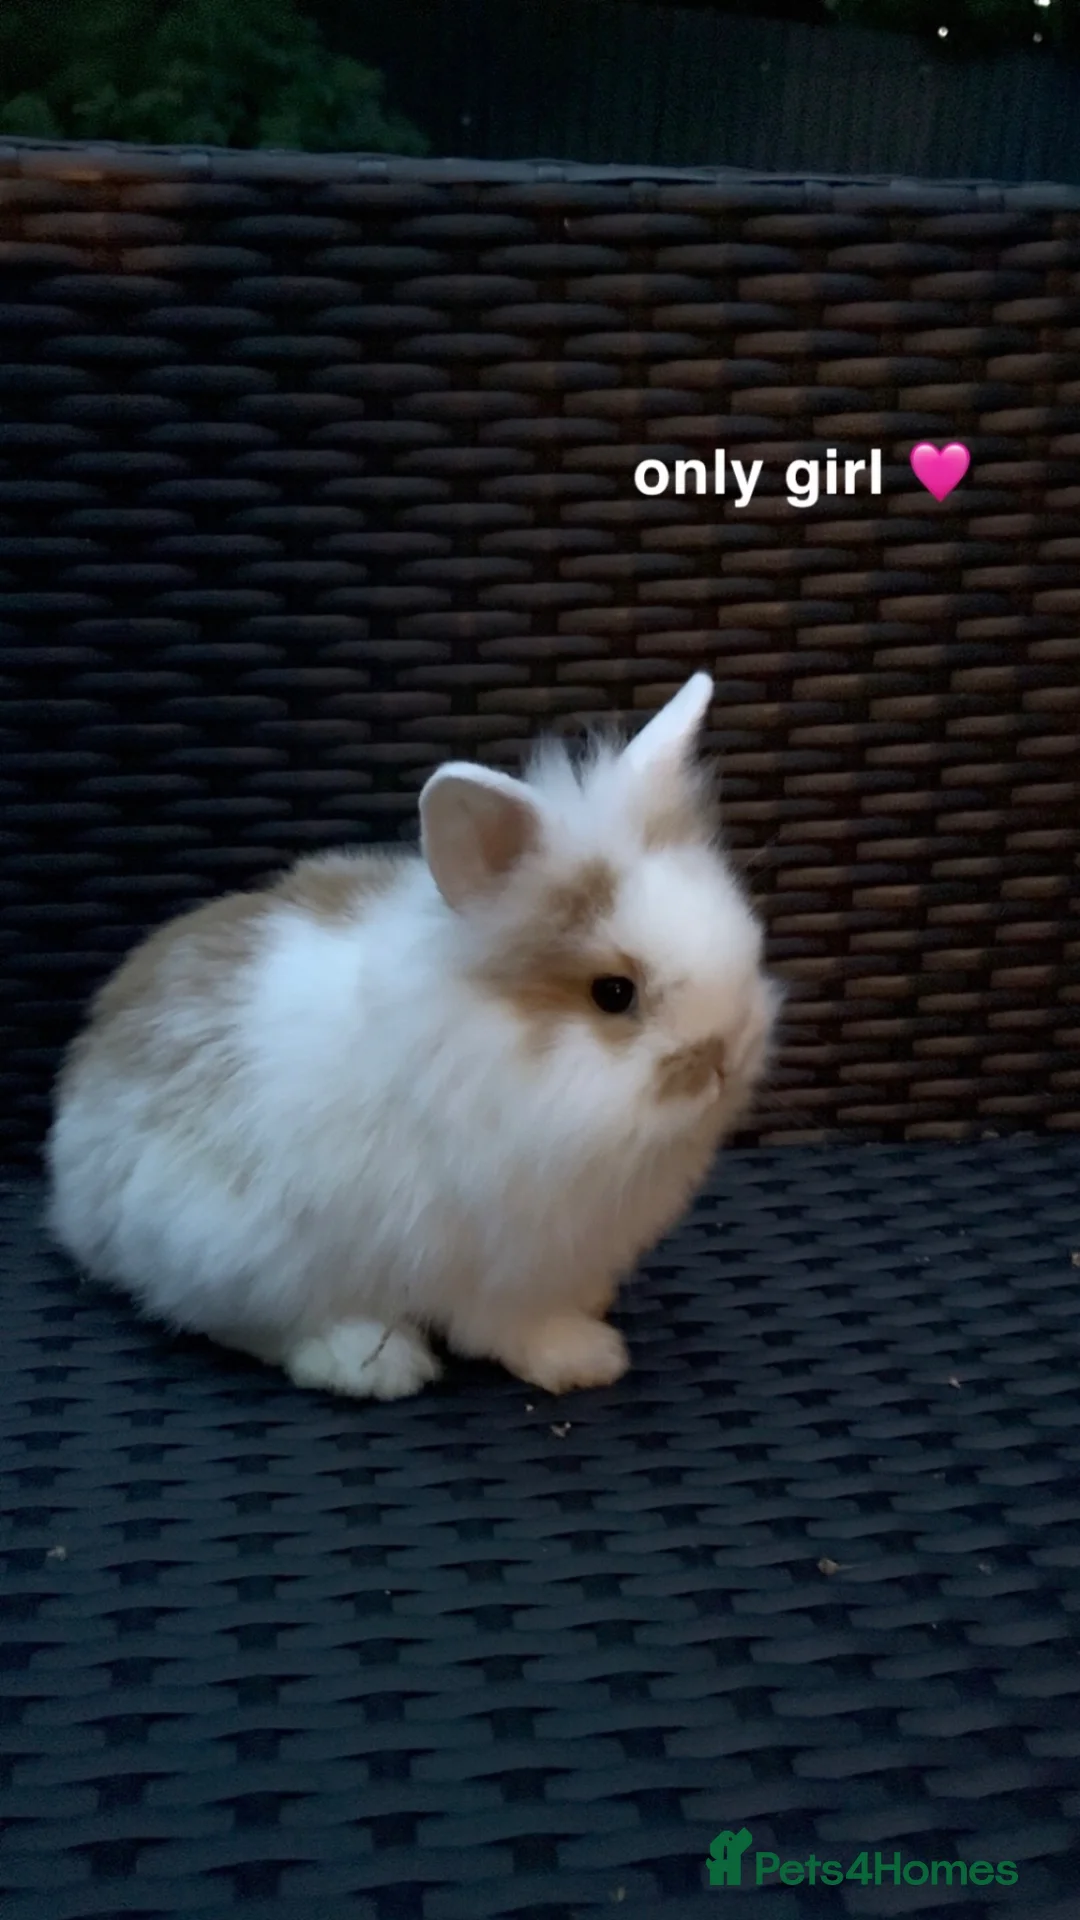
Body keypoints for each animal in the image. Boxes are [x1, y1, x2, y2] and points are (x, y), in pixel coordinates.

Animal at [46, 673, 782, 1402]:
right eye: (614, 993)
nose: (726, 1057)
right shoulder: (502, 1257)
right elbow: (512, 1323)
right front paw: (584, 1358)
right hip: (229, 1244)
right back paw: (371, 1363)